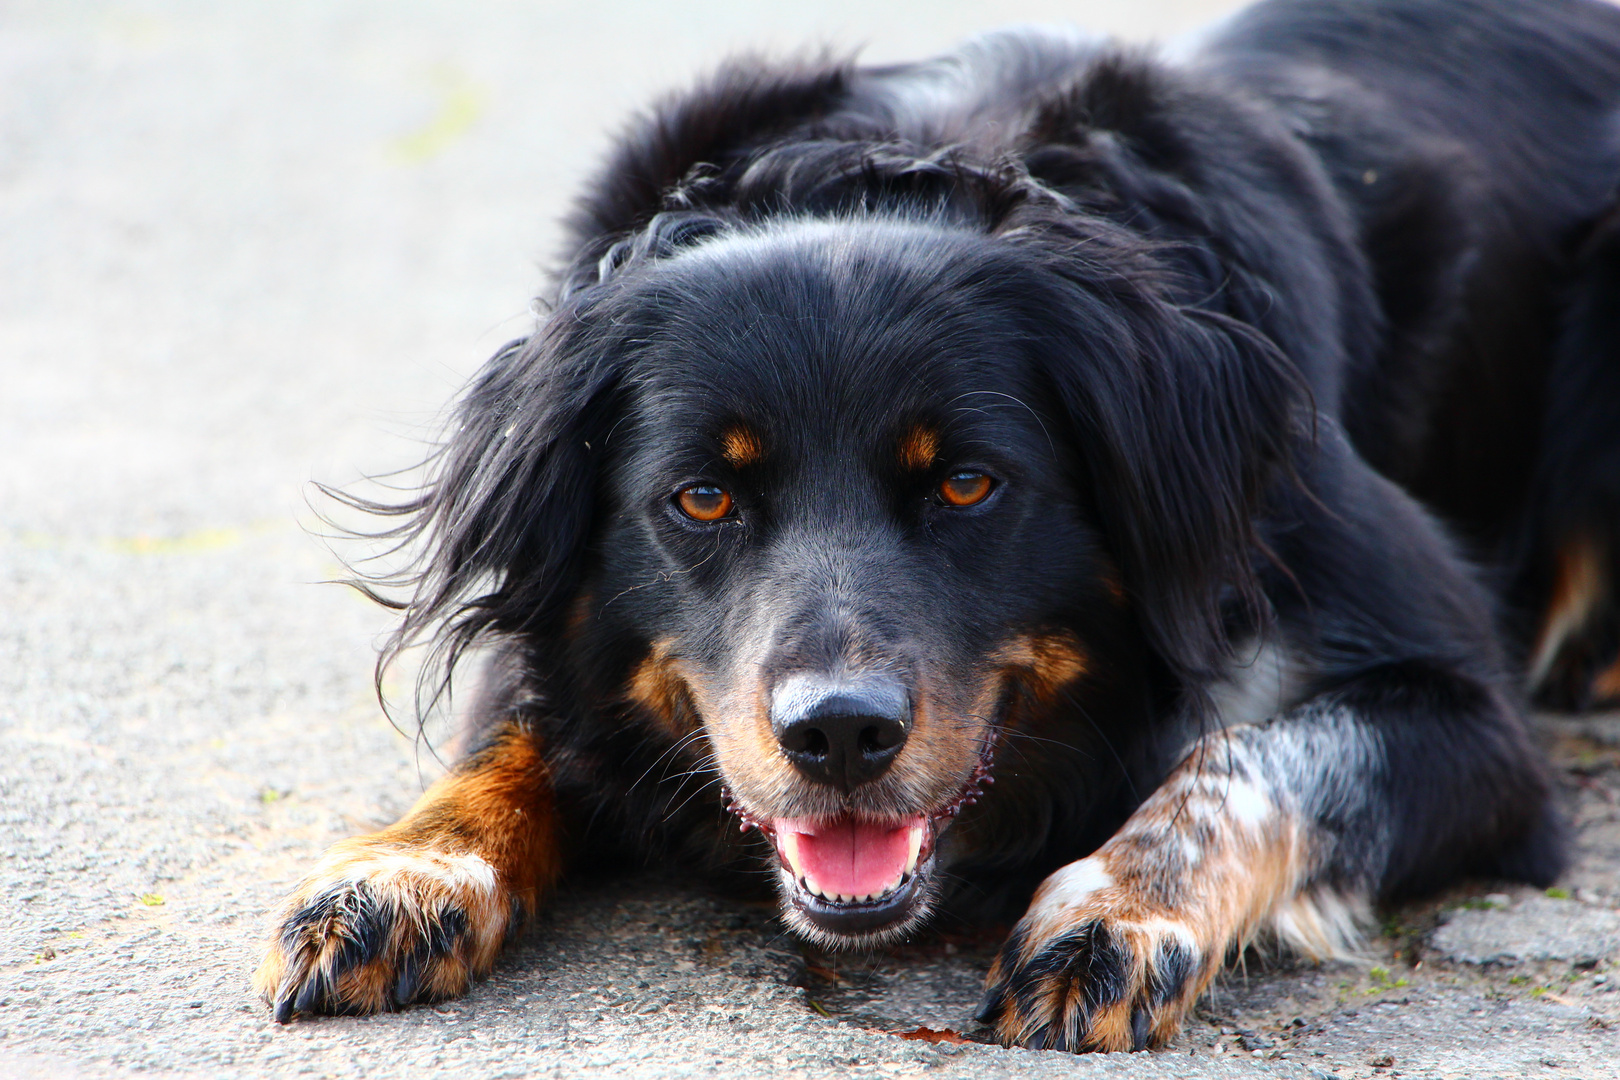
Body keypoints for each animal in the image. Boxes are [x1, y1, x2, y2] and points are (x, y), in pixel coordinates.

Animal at [252, 0, 1620, 1049]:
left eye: (966, 485)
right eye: (703, 498)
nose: (840, 736)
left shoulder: (1469, 722)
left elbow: (1242, 757)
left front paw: (1118, 912)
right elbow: (514, 735)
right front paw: (403, 871)